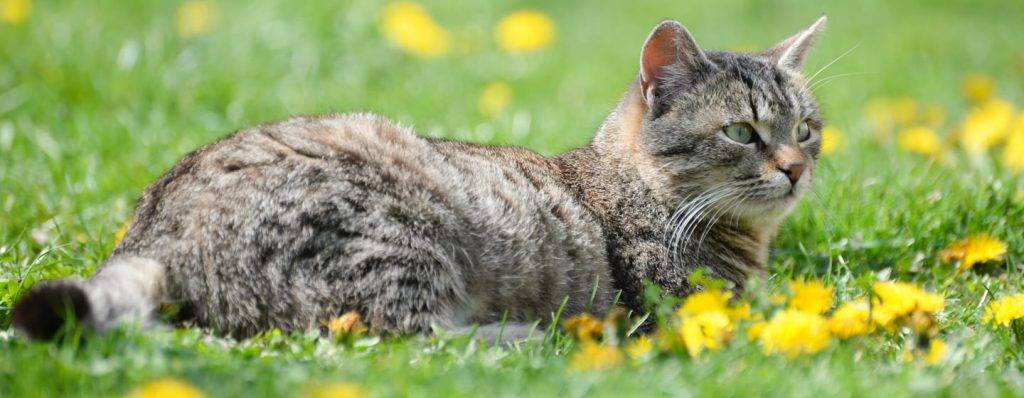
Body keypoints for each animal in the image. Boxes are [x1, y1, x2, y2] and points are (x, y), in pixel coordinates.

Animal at [14, 17, 831, 341]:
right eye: (741, 132)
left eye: (806, 129)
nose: (795, 168)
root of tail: (151, 237)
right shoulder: (687, 303)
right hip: (399, 242)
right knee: (408, 336)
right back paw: (542, 334)